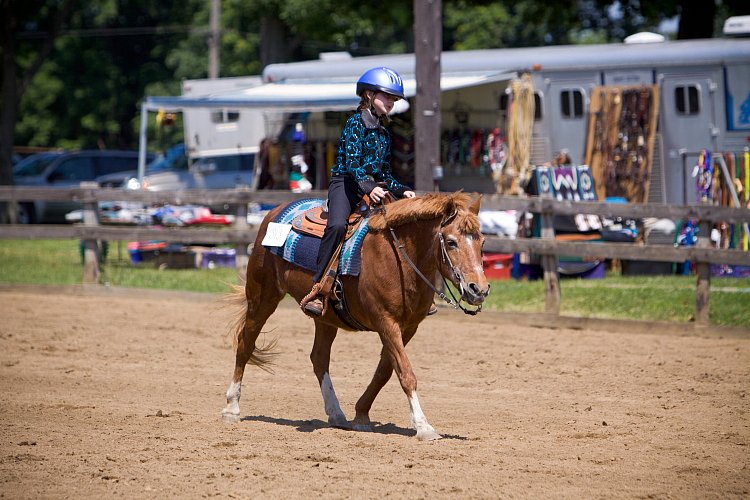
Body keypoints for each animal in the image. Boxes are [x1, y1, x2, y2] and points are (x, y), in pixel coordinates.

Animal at [222, 189, 494, 440]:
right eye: (451, 242)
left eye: (482, 242)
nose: (478, 289)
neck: (399, 258)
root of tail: (273, 212)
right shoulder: (386, 322)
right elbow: (405, 372)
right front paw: (423, 426)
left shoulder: (408, 327)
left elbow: (385, 371)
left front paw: (361, 415)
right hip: (262, 297)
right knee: (245, 344)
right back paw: (232, 407)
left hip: (325, 317)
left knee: (319, 357)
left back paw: (336, 413)